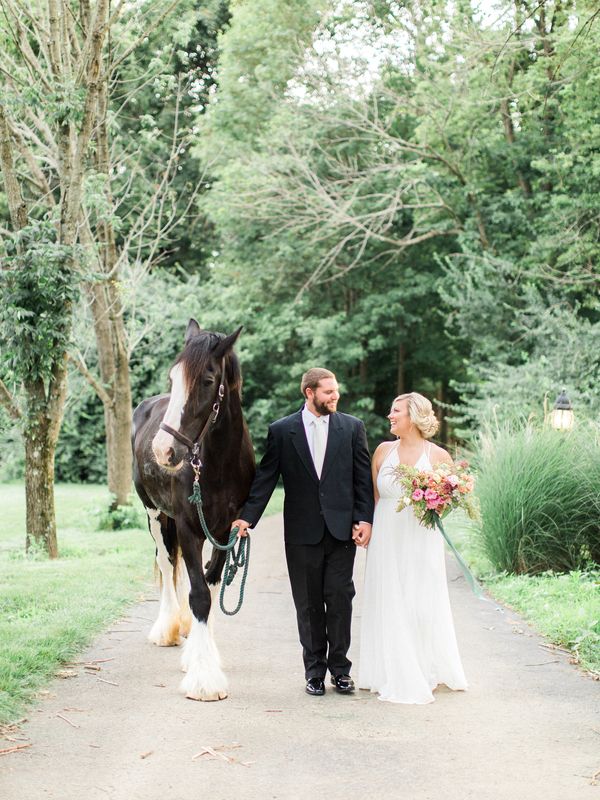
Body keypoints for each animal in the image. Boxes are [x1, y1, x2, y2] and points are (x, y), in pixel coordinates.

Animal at [132, 318, 254, 700]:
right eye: (173, 378)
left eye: (208, 381)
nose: (163, 450)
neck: (218, 464)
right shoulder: (187, 526)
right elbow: (198, 594)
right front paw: (203, 678)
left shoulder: (228, 530)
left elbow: (211, 586)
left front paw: (204, 655)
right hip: (155, 515)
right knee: (166, 562)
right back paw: (168, 628)